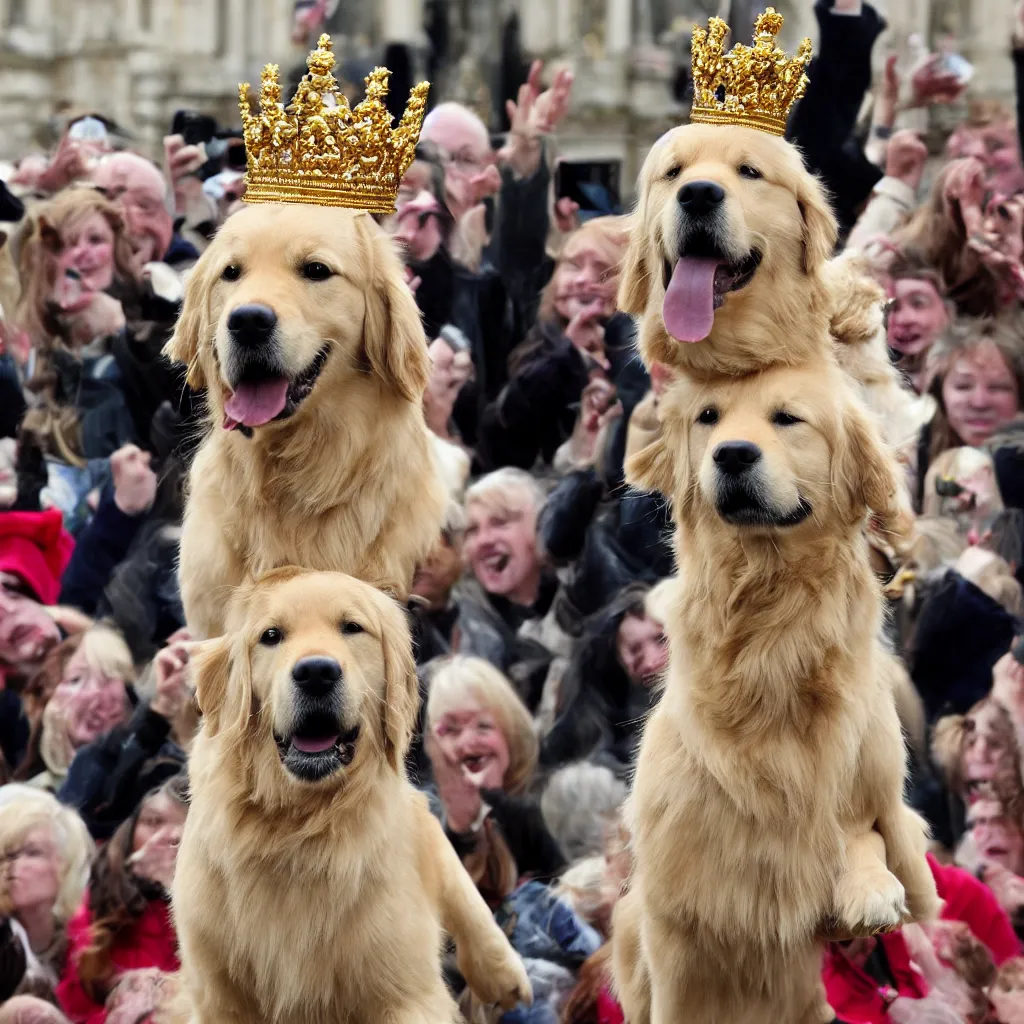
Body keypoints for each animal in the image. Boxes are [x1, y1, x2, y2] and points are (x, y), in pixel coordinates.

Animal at [173, 573, 532, 1019]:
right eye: (270, 635)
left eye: (352, 627)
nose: (316, 672)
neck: (297, 830)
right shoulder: (219, 990)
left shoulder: (402, 986)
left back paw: (502, 974)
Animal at [610, 354, 937, 1024]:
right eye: (708, 417)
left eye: (788, 418)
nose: (732, 454)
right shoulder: (678, 919)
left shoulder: (872, 787)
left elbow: (866, 836)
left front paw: (871, 890)